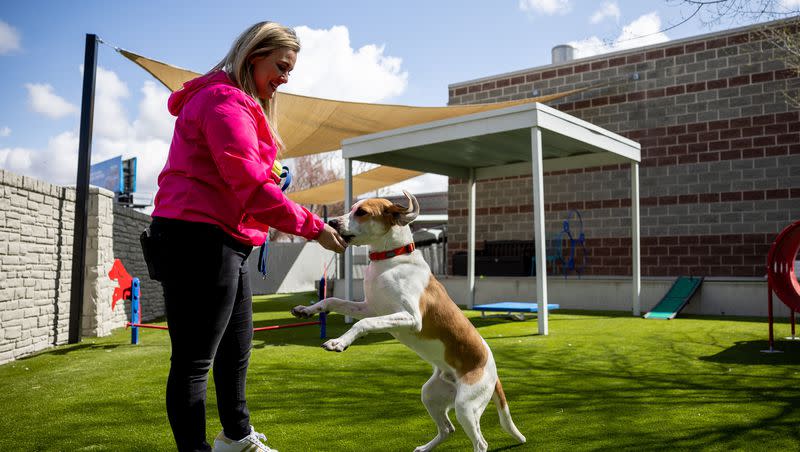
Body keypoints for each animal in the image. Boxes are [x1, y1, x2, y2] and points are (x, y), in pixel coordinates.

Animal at [292, 192, 524, 452]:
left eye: (361, 212)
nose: (331, 222)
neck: (391, 259)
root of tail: (494, 373)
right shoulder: (369, 307)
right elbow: (331, 300)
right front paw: (307, 310)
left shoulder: (410, 317)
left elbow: (364, 324)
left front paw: (338, 342)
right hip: (430, 394)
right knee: (447, 429)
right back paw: (424, 448)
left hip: (466, 405)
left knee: (480, 442)